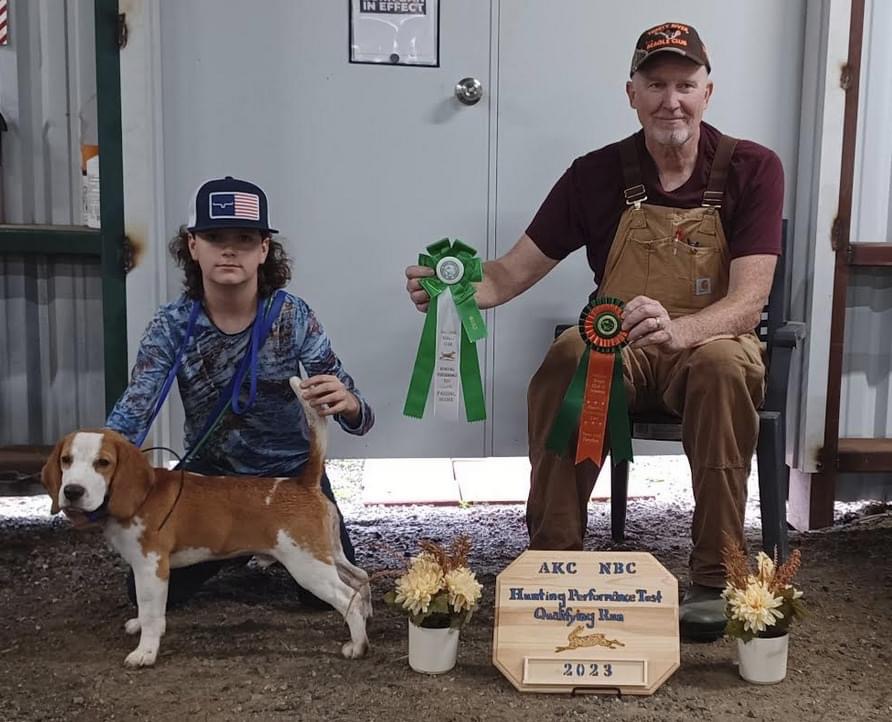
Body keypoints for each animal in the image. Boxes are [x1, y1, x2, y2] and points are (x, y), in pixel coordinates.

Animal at [40, 377, 371, 668]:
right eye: (66, 460)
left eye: (103, 463)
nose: (72, 491)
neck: (141, 495)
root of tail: (303, 482)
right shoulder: (142, 568)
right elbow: (148, 612)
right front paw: (142, 628)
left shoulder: (151, 566)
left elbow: (151, 614)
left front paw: (145, 652)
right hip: (329, 555)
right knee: (360, 579)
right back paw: (368, 616)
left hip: (307, 566)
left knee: (347, 597)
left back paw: (357, 645)